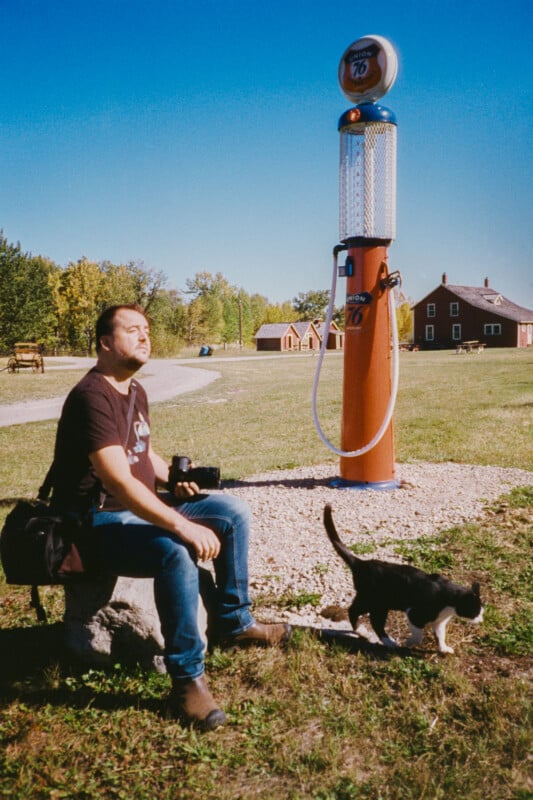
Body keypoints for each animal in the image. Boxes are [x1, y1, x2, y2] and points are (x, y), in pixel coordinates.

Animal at [322, 504, 484, 652]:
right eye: (475, 611)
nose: (481, 620)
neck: (450, 601)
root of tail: (361, 562)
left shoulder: (439, 621)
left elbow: (440, 635)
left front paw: (443, 649)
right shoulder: (414, 613)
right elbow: (418, 634)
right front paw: (409, 643)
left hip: (376, 602)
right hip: (374, 601)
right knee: (361, 615)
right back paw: (378, 638)